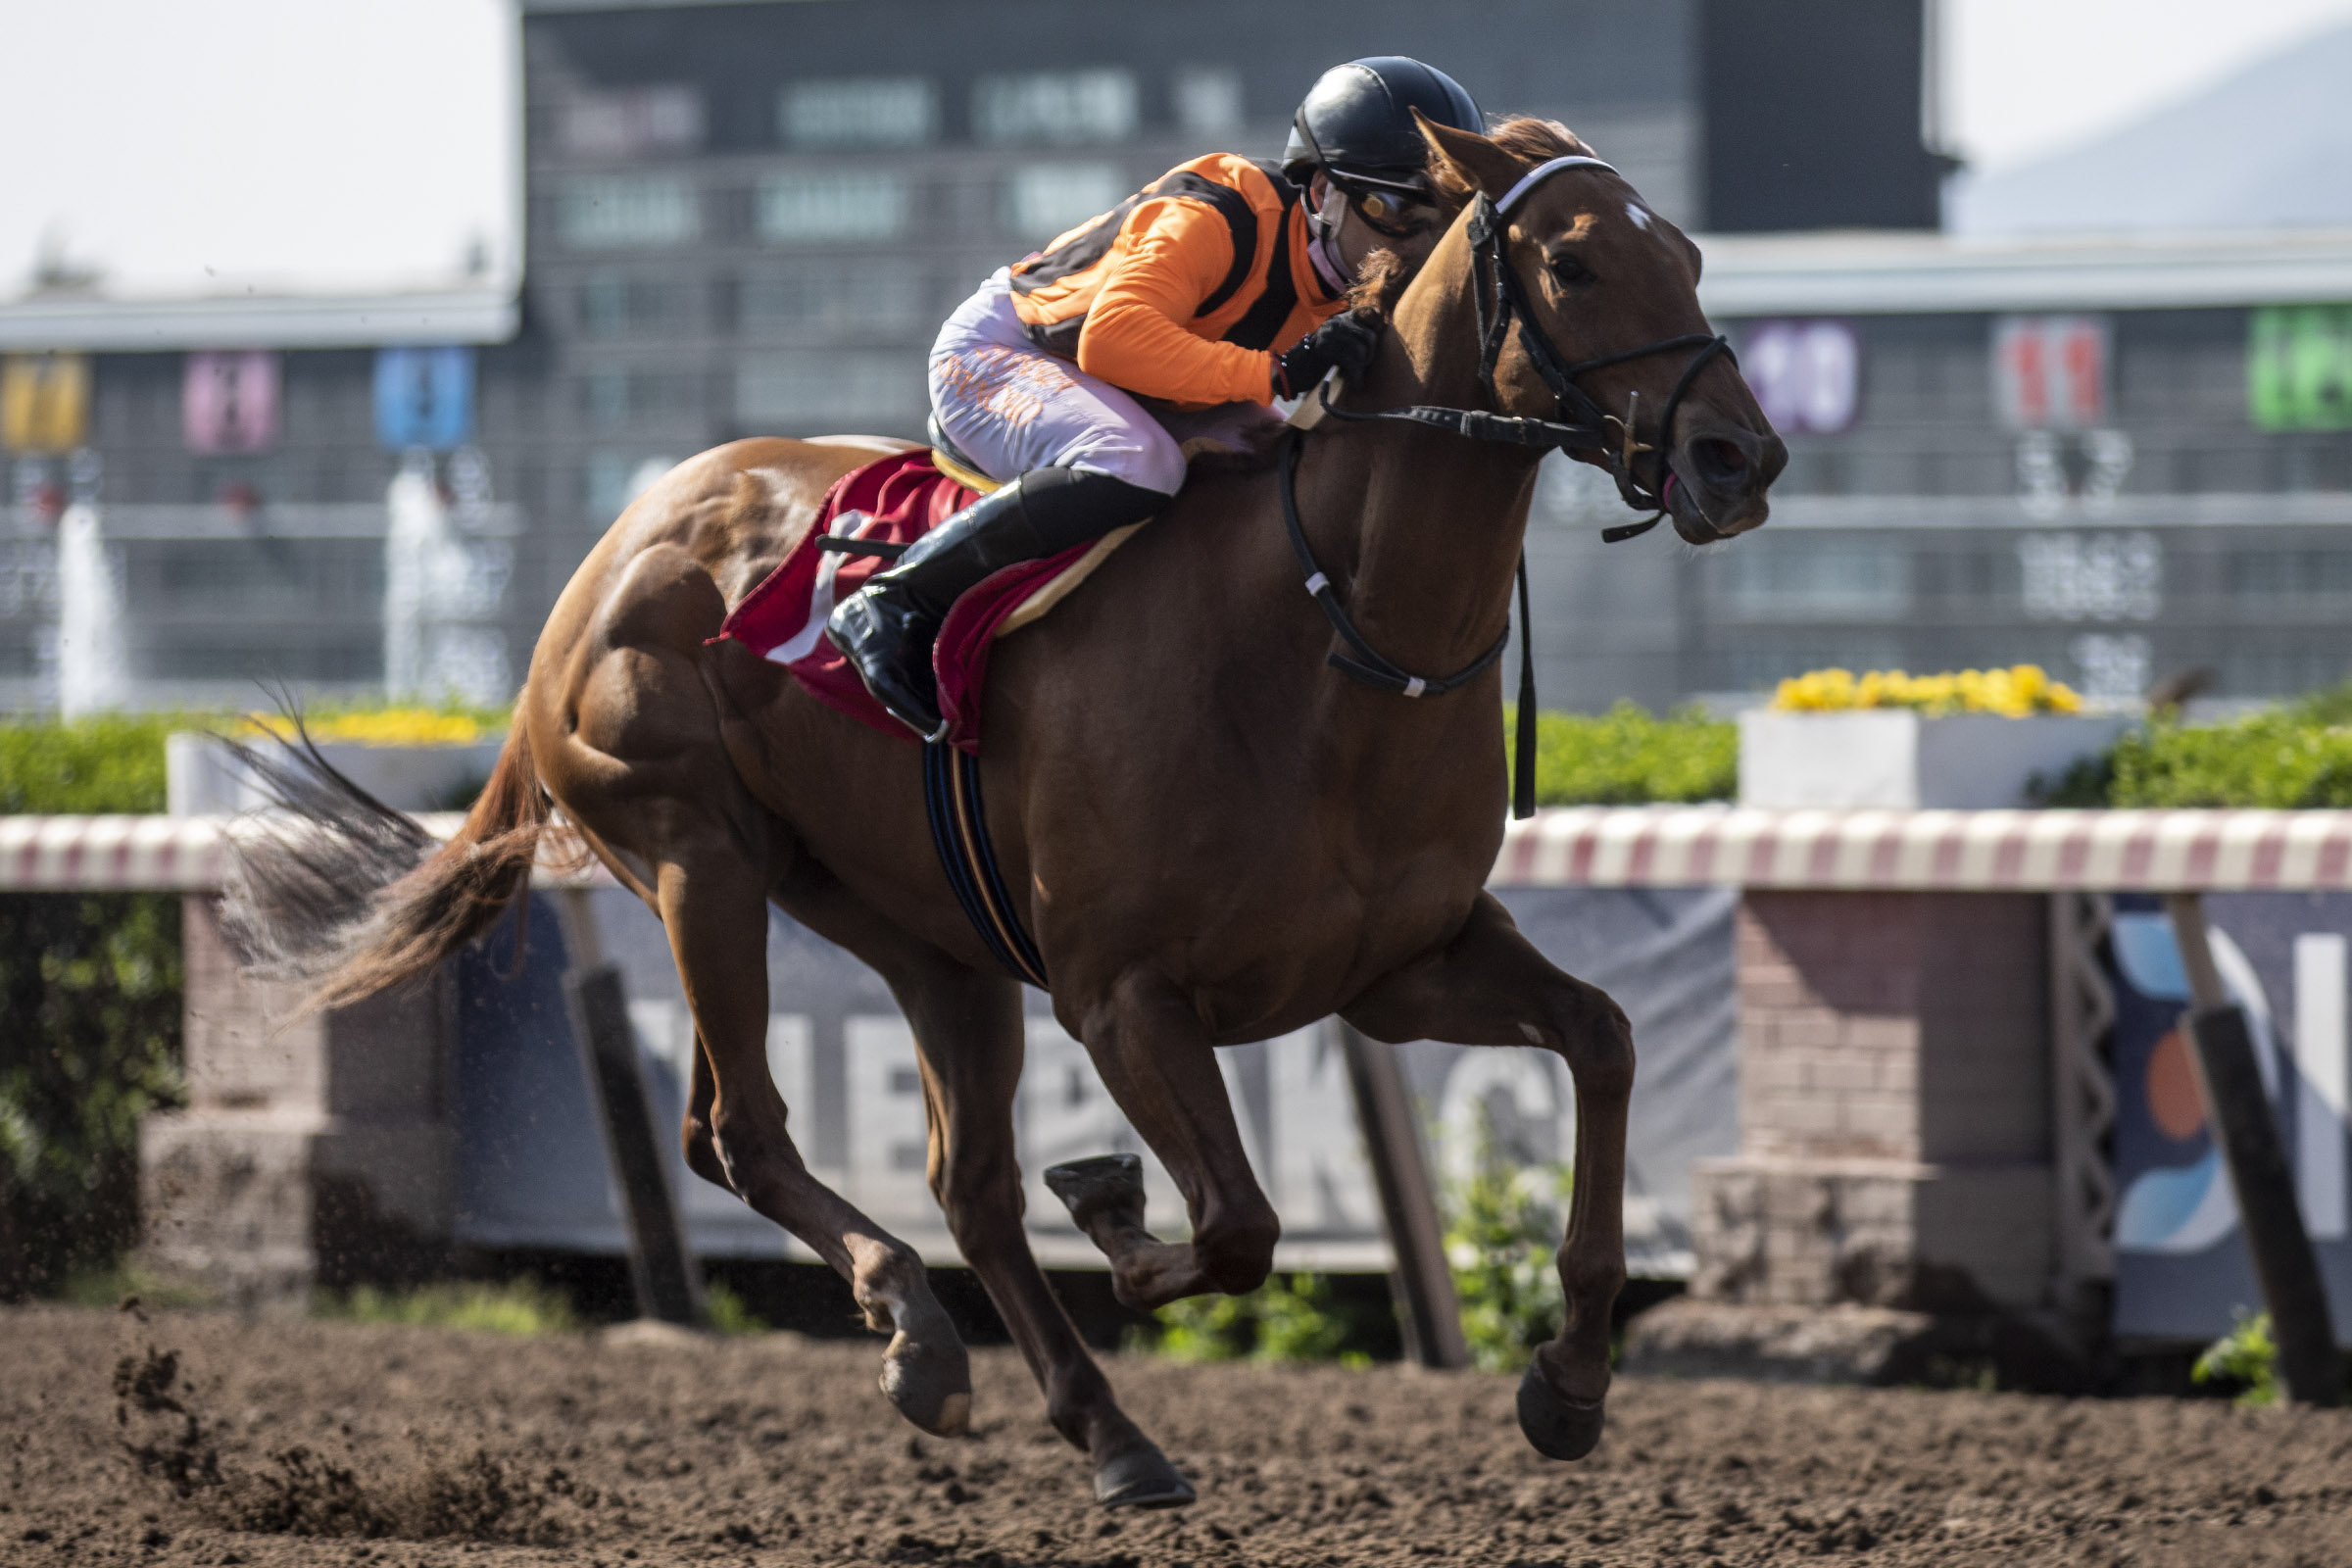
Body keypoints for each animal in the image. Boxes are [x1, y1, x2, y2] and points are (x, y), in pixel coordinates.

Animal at [226, 113, 1783, 1509]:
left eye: (1690, 252)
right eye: (1575, 262)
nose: (1740, 459)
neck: (1337, 636)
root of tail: (617, 545)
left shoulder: (1399, 967)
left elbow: (1603, 1039)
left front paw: (1569, 1380)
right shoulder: (1121, 993)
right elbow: (1235, 1225)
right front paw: (1108, 1204)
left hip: (929, 936)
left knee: (961, 1181)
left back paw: (1108, 1433)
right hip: (696, 859)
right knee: (741, 1133)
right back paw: (917, 1333)